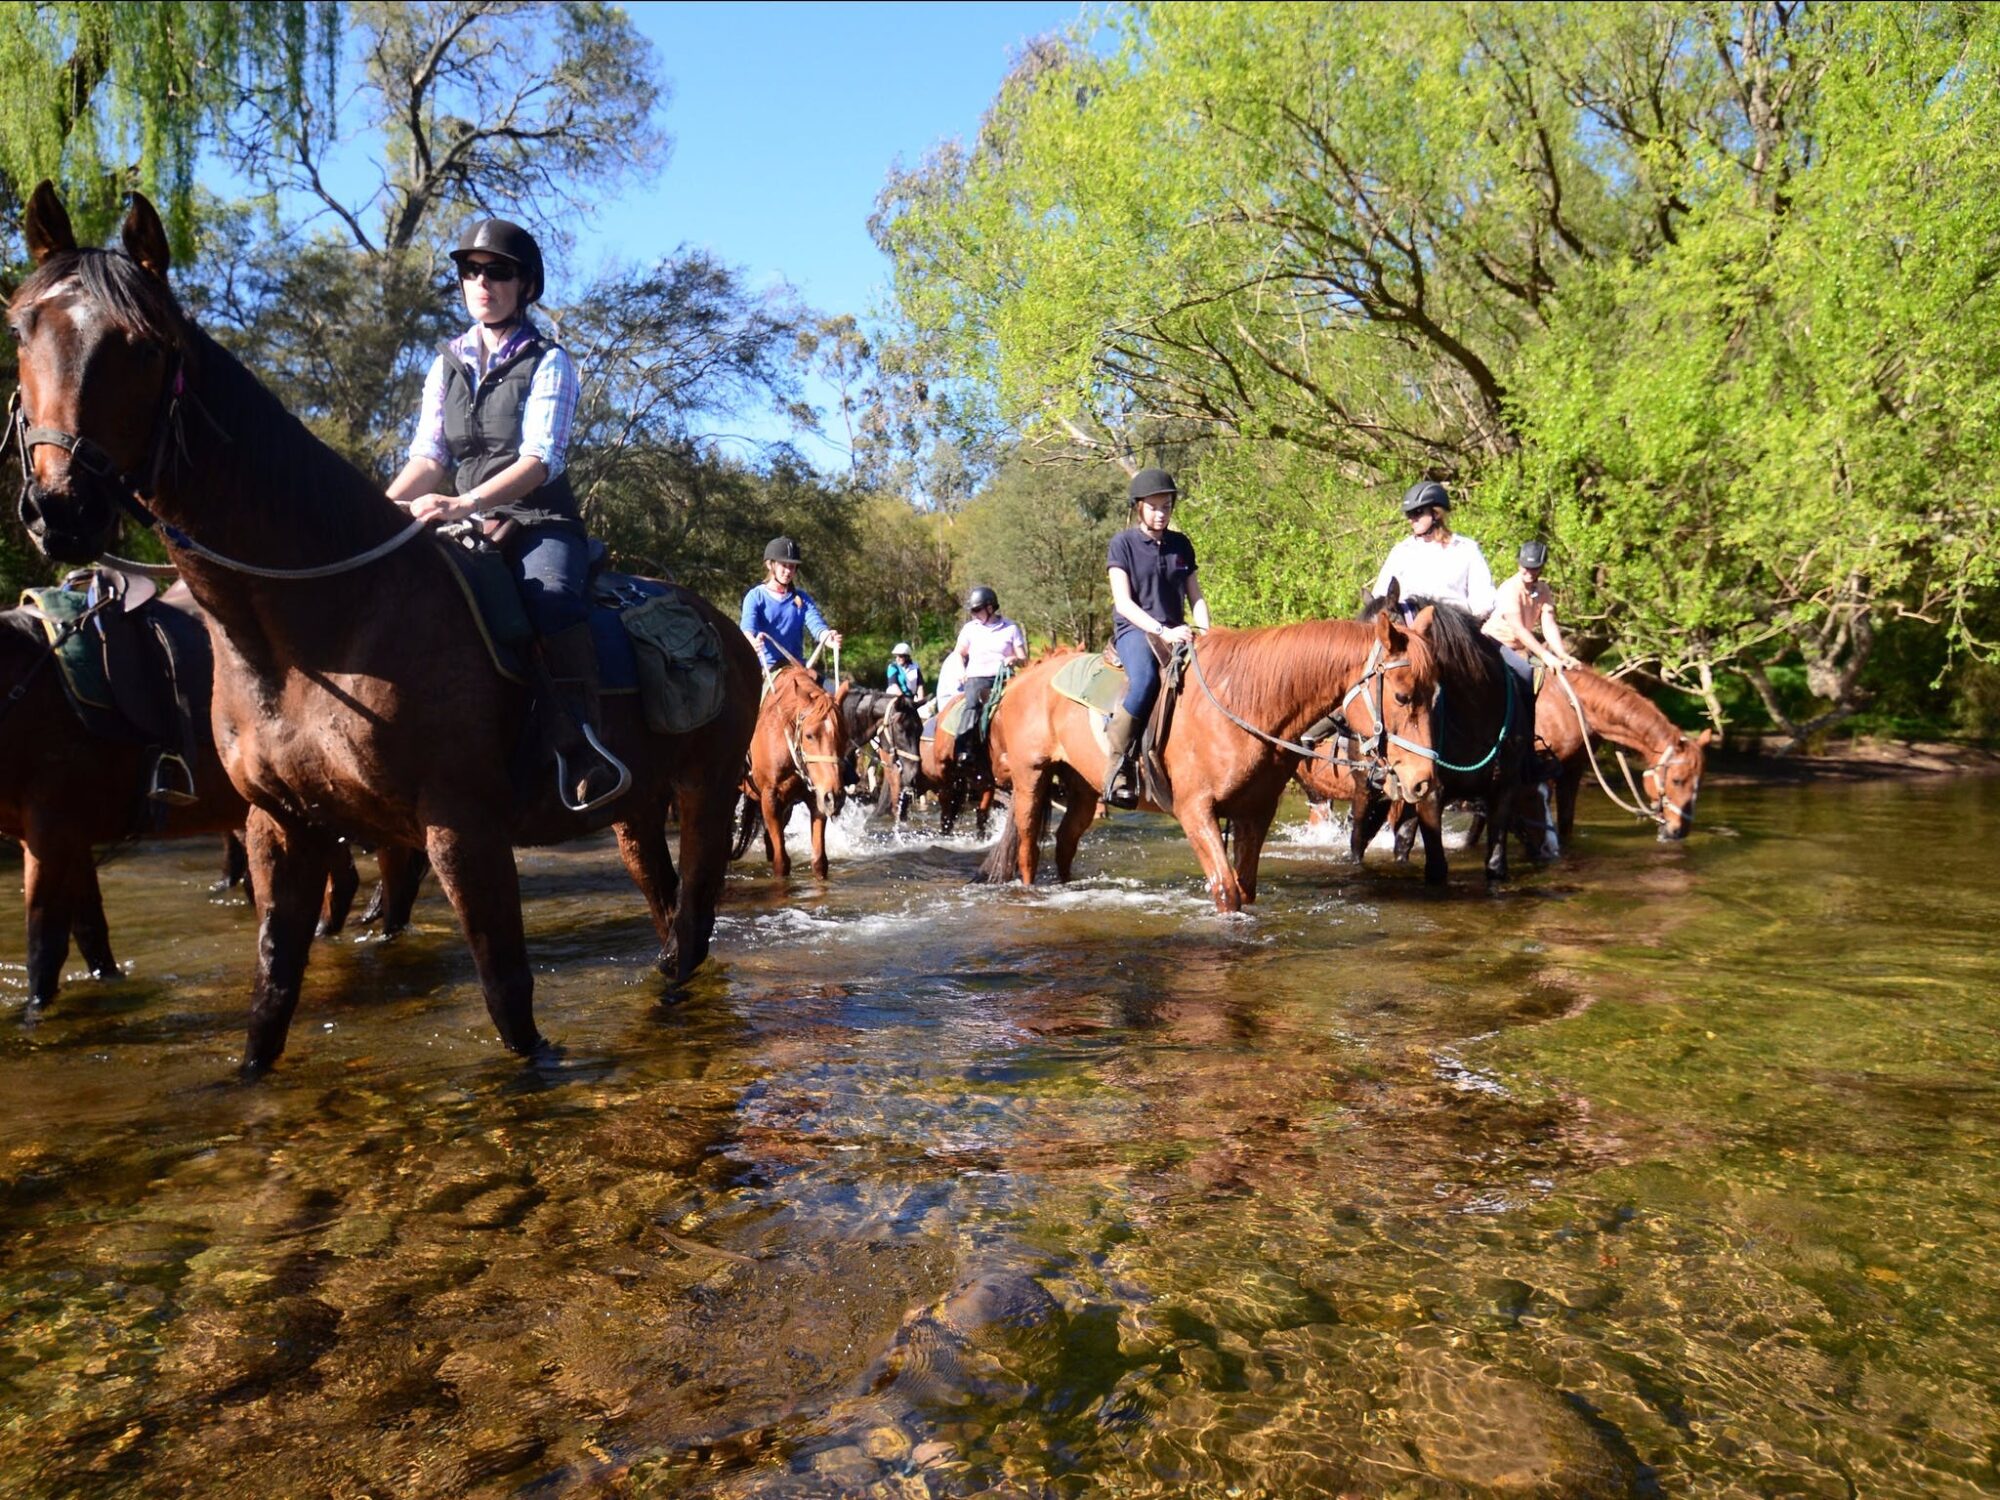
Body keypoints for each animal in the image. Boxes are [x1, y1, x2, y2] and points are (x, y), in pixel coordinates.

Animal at [9, 183, 761, 1072]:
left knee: (692, 927)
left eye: (142, 345)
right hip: (637, 810)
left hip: (707, 794)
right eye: (21, 327)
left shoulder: (461, 828)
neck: (319, 630)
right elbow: (271, 996)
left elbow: (508, 995)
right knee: (669, 917)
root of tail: (728, 632)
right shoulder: (279, 828)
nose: (59, 510)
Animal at [735, 666, 849, 878]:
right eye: (809, 735)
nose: (835, 797)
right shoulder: (770, 799)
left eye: (845, 736)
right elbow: (781, 862)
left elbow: (819, 861)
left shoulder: (816, 797)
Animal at [976, 612, 1441, 911]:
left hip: (1083, 790)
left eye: (1434, 693)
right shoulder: (1195, 810)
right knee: (1028, 851)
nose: (1422, 781)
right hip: (1031, 779)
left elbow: (1245, 888)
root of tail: (1022, 680)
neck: (1244, 704)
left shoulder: (1255, 812)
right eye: (1402, 696)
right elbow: (1226, 891)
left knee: (1065, 843)